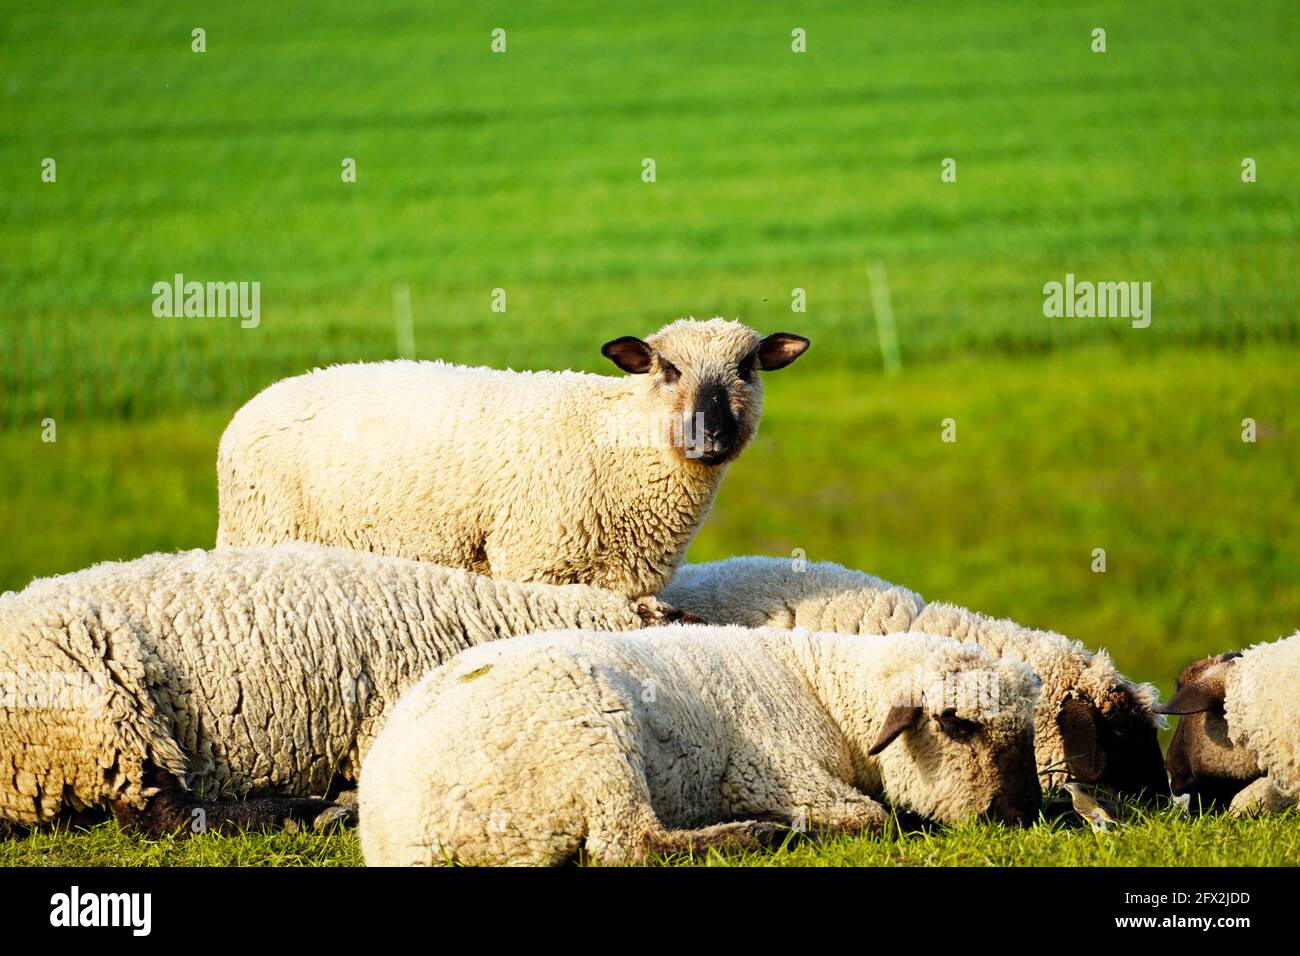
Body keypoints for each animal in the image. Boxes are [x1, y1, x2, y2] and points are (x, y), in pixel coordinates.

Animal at [216, 318, 810, 600]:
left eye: (747, 369)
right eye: (666, 369)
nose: (710, 435)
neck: (616, 440)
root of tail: (247, 409)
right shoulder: (533, 562)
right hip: (261, 531)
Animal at [358, 626, 1042, 866]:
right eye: (956, 724)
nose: (1023, 815)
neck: (824, 688)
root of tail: (393, 834)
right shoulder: (776, 772)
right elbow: (872, 820)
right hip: (591, 743)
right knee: (629, 846)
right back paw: (753, 836)